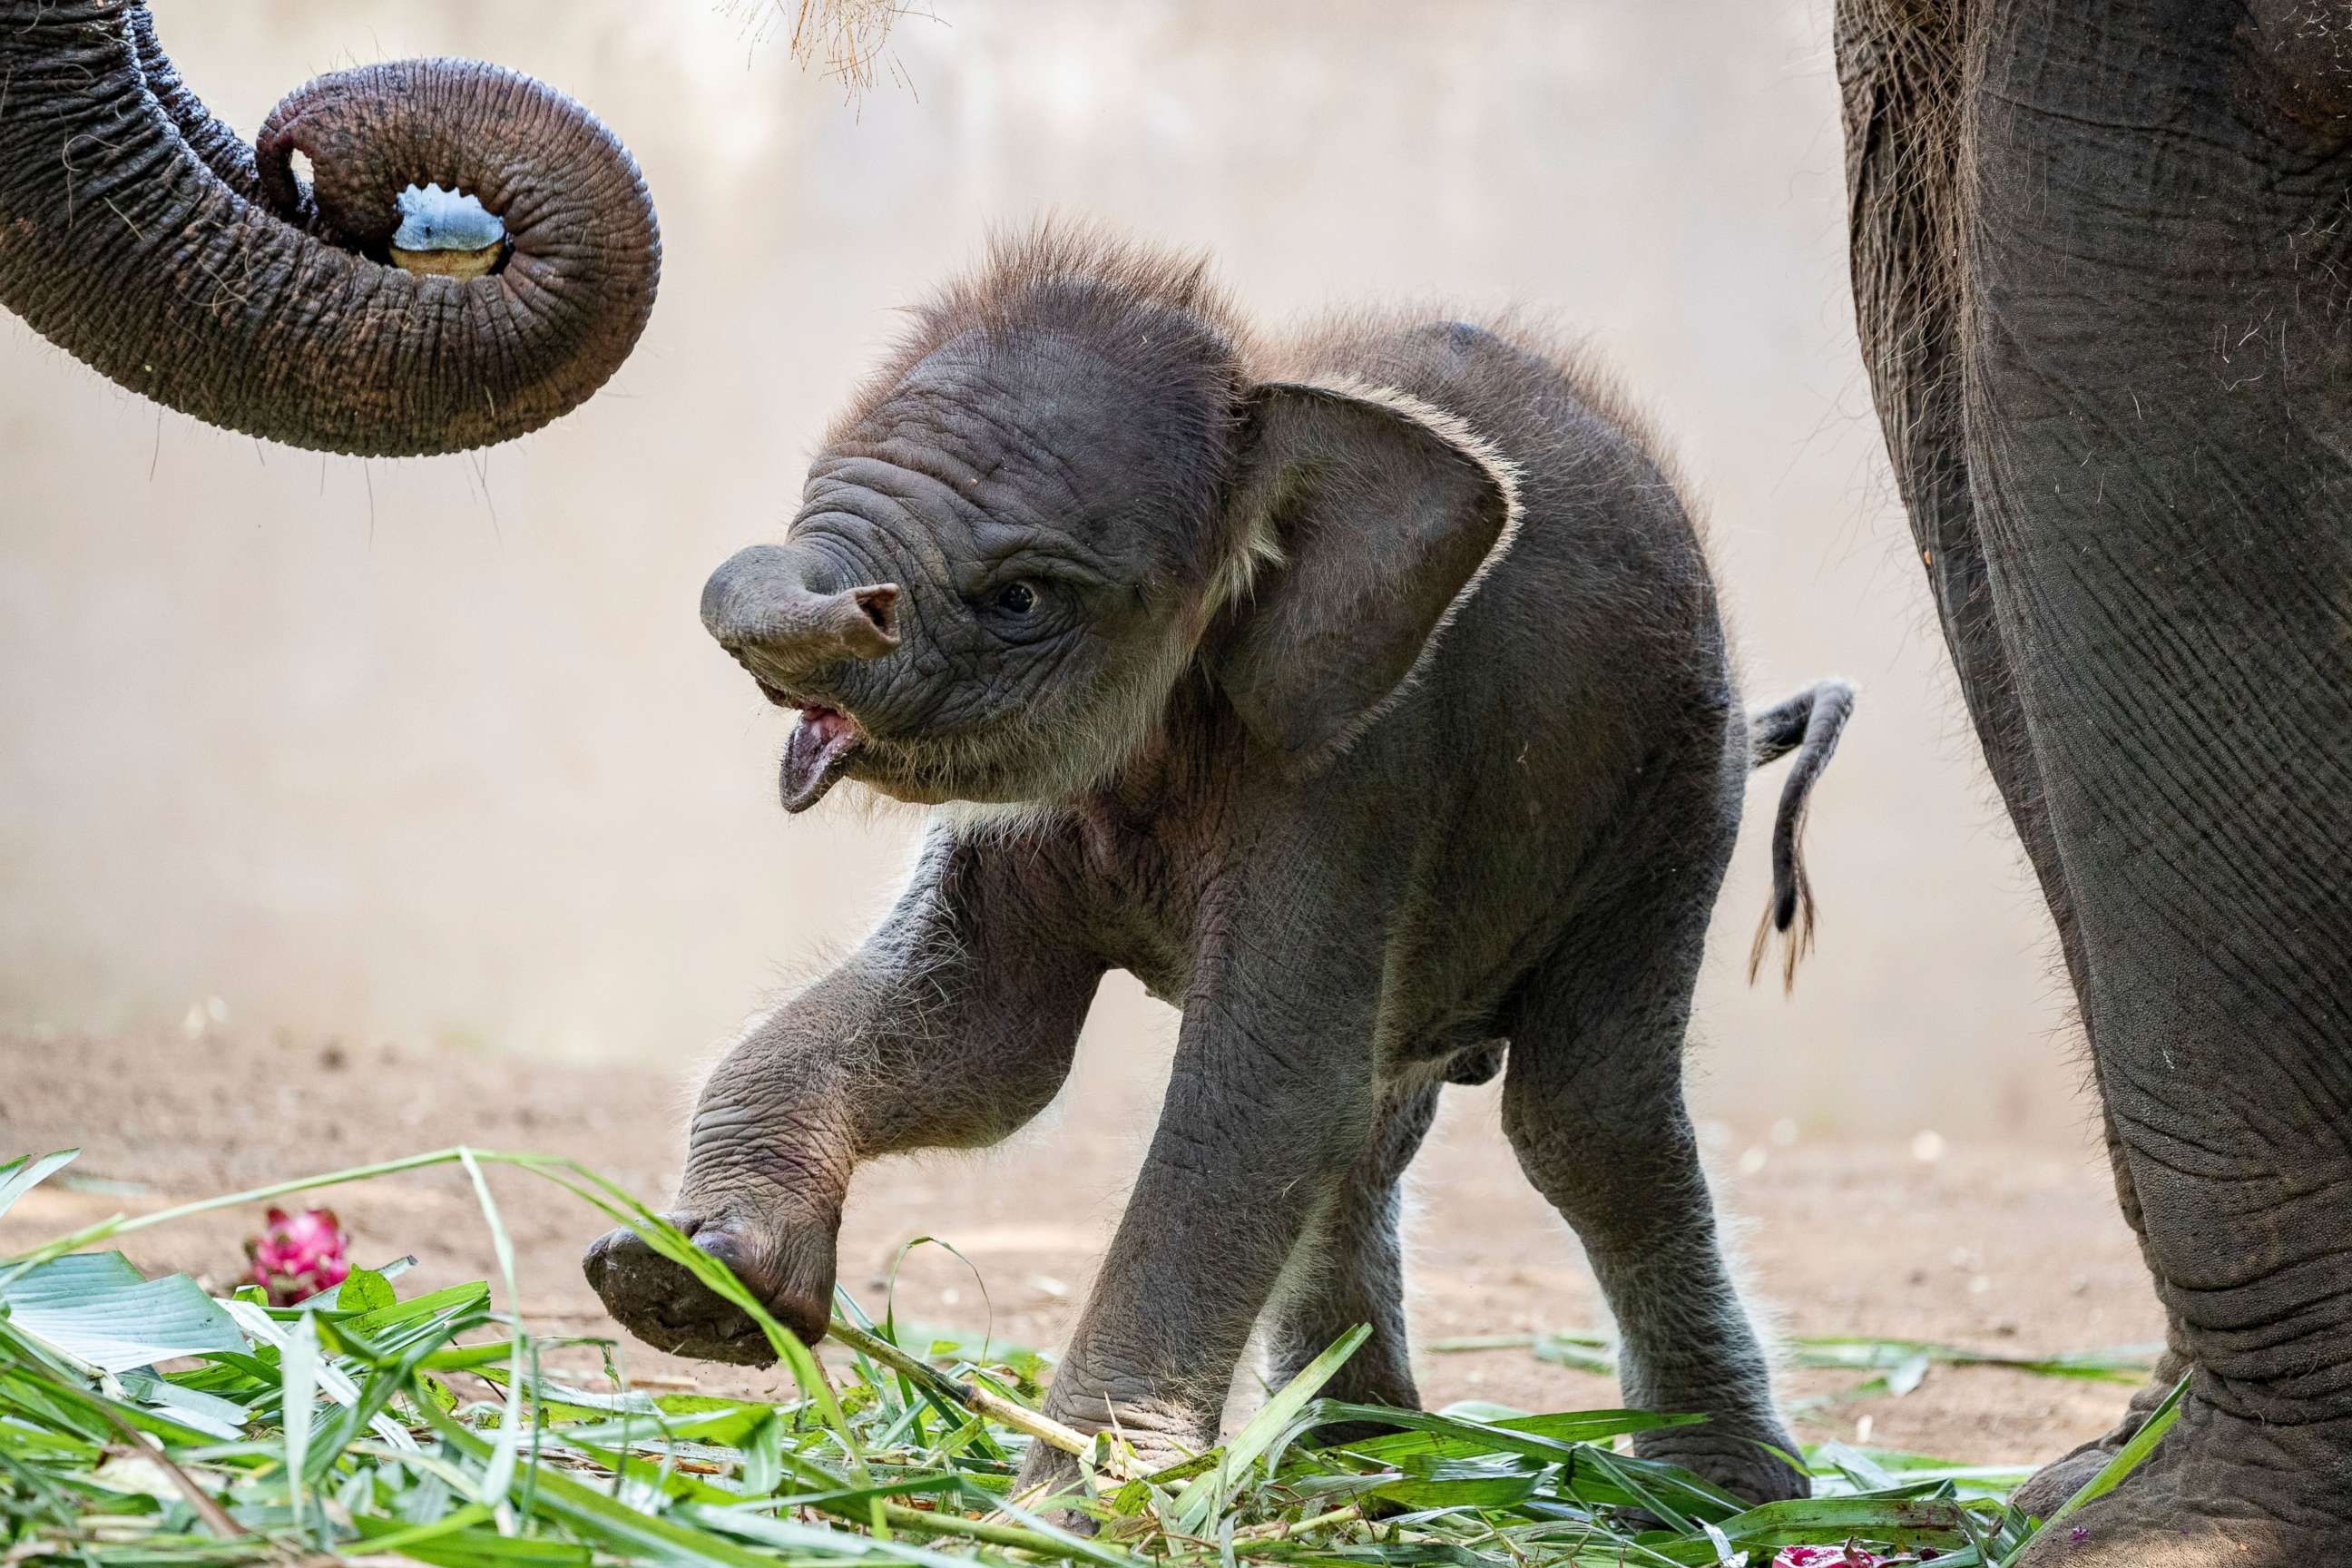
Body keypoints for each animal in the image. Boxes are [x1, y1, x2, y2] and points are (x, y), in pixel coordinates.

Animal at [578, 223, 1844, 1504]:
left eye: (1020, 597)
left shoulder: (1358, 768)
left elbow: (1260, 1088)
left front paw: (1092, 1501)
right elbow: (977, 1046)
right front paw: (687, 1284)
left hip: (1672, 805)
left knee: (1588, 1124)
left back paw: (1714, 1495)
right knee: (1378, 1120)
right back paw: (1353, 1459)